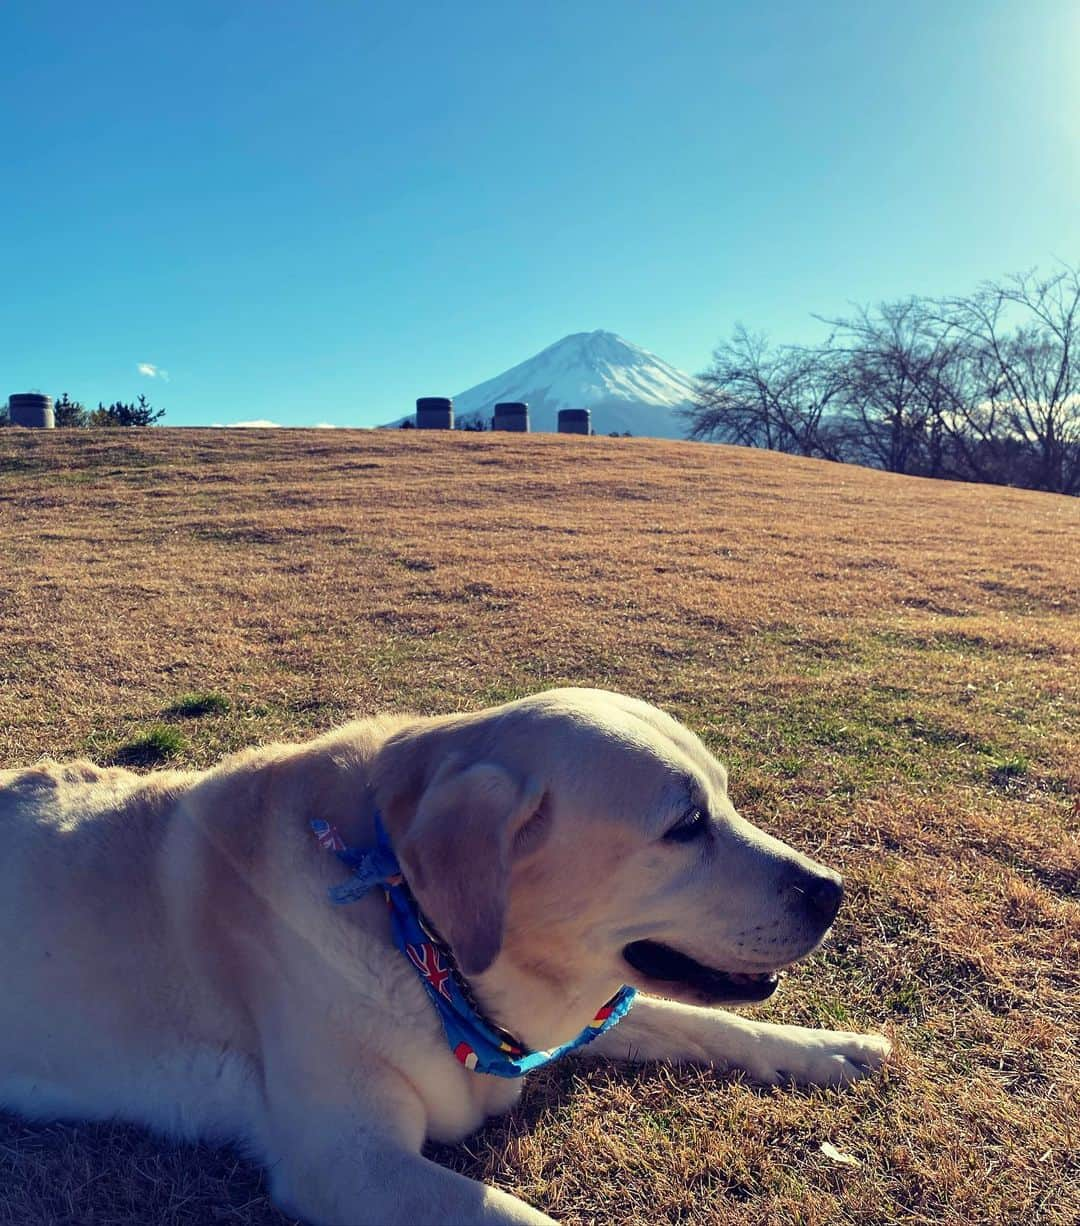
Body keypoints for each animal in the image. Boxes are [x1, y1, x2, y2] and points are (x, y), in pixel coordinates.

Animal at [0, 691, 882, 1226]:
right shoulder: (346, 1160)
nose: (832, 891)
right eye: (685, 825)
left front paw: (829, 1048)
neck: (417, 932)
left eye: (724, 799)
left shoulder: (561, 1014)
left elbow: (694, 1021)